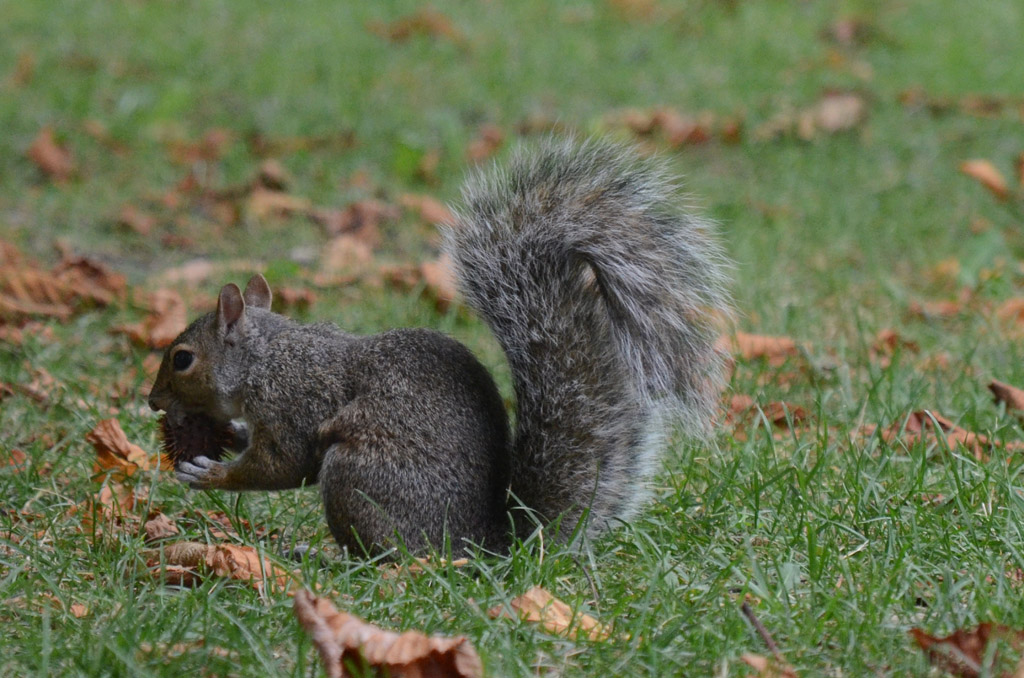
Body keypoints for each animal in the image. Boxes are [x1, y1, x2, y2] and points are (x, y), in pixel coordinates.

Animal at [147, 138, 730, 556]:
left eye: (182, 359)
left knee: (389, 555)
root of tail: (484, 546)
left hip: (358, 476)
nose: (152, 401)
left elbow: (283, 465)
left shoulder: (293, 401)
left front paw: (210, 474)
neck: (264, 357)